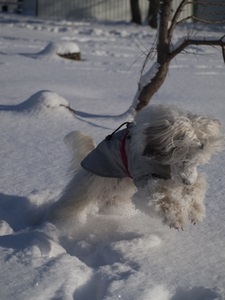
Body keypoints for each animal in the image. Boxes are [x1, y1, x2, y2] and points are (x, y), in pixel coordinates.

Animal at [49, 105, 223, 230]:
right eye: (184, 159)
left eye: (198, 162)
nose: (187, 182)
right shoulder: (147, 177)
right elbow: (161, 196)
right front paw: (176, 218)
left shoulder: (170, 176)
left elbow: (197, 186)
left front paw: (195, 210)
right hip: (91, 185)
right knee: (72, 204)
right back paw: (63, 224)